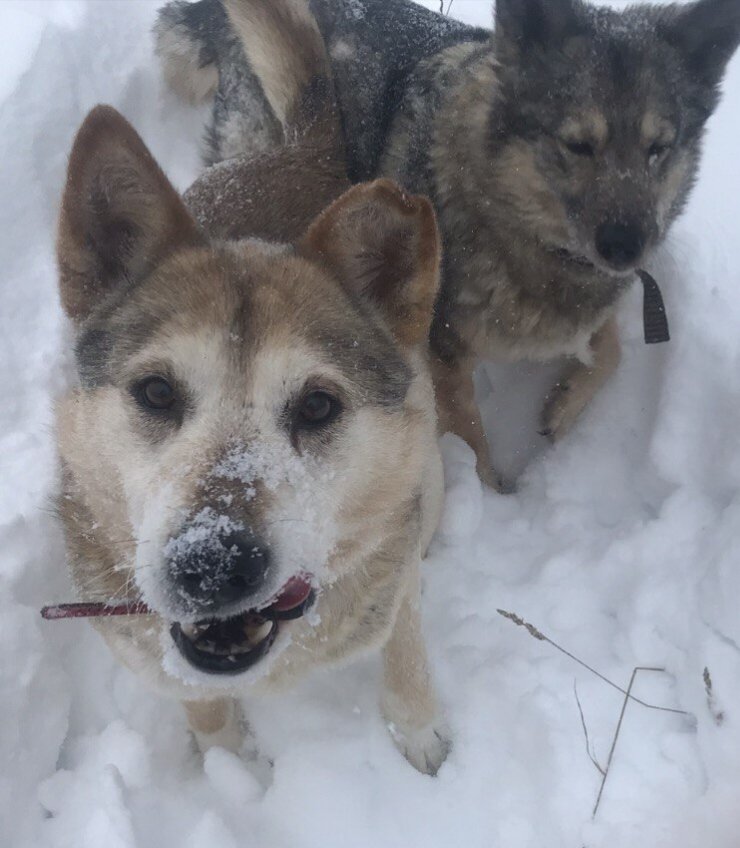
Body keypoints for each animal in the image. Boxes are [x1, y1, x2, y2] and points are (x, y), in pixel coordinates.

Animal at [55, 0, 448, 776]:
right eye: (155, 392)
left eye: (319, 405)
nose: (213, 566)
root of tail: (300, 149)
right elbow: (202, 706)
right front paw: (230, 767)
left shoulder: (396, 577)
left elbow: (404, 639)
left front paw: (416, 726)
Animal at [153, 0, 740, 486]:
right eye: (577, 144)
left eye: (659, 148)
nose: (628, 247)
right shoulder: (442, 352)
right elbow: (468, 435)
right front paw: (493, 494)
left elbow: (610, 349)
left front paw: (562, 403)